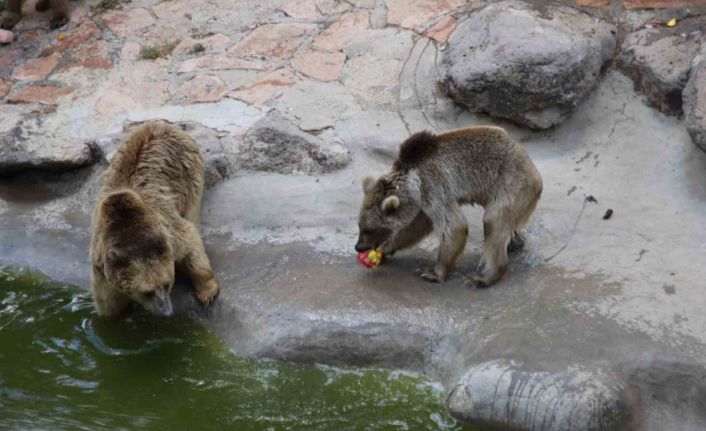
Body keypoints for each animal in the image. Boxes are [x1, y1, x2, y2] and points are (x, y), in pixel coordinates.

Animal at [89, 121, 219, 318]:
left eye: (166, 284)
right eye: (147, 292)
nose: (167, 311)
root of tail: (162, 123)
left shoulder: (168, 228)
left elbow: (191, 240)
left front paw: (207, 291)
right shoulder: (102, 273)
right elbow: (108, 308)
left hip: (188, 173)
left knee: (192, 211)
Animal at [354, 126, 540, 288]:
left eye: (369, 229)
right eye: (360, 225)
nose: (358, 246)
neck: (413, 183)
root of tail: (533, 169)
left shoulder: (434, 187)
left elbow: (454, 226)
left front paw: (431, 272)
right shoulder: (423, 202)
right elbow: (414, 228)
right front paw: (385, 249)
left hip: (510, 184)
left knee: (494, 222)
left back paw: (483, 277)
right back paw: (516, 243)